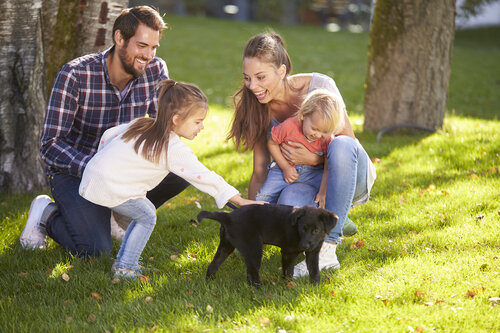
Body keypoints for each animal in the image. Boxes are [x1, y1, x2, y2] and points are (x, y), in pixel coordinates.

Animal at [197, 204, 338, 284]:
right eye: (302, 228)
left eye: (316, 230)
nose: (304, 246)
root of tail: (228, 216)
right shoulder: (288, 252)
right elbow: (288, 271)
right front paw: (288, 285)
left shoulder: (313, 252)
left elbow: (314, 270)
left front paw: (315, 286)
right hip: (254, 249)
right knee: (252, 274)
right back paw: (259, 289)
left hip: (226, 246)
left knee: (213, 265)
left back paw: (209, 283)